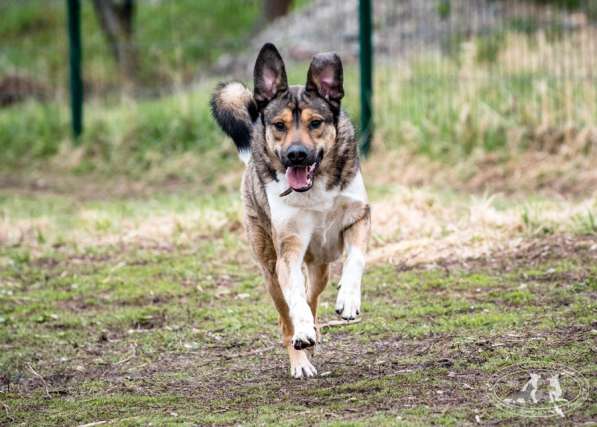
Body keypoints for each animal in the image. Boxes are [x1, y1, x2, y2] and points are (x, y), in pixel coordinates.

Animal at [210, 42, 368, 378]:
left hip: (320, 266)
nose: (296, 155)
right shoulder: (289, 248)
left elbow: (355, 259)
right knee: (287, 318)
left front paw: (348, 300)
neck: (314, 188)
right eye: (280, 125)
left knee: (312, 295)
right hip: (270, 270)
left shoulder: (358, 217)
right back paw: (301, 356)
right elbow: (295, 297)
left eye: (315, 123)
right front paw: (304, 333)